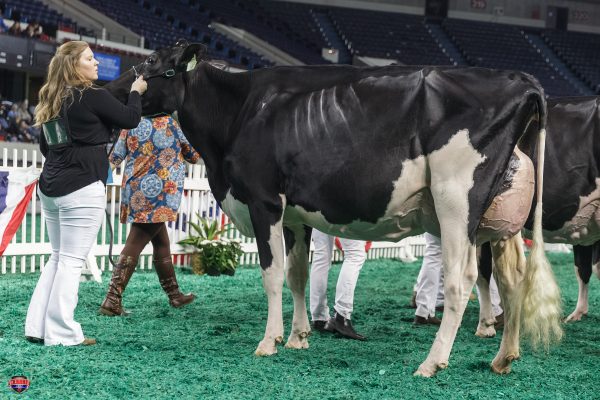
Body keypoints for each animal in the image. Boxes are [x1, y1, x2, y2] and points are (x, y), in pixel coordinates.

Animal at [105, 41, 562, 377]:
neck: (238, 113)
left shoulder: (264, 201)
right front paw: (298, 337)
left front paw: (268, 341)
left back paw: (432, 363)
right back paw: (504, 357)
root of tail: (520, 80)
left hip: (457, 201)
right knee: (512, 278)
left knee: (461, 279)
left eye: (150, 60)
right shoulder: (294, 215)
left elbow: (272, 274)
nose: (108, 92)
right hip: (499, 219)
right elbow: (298, 275)